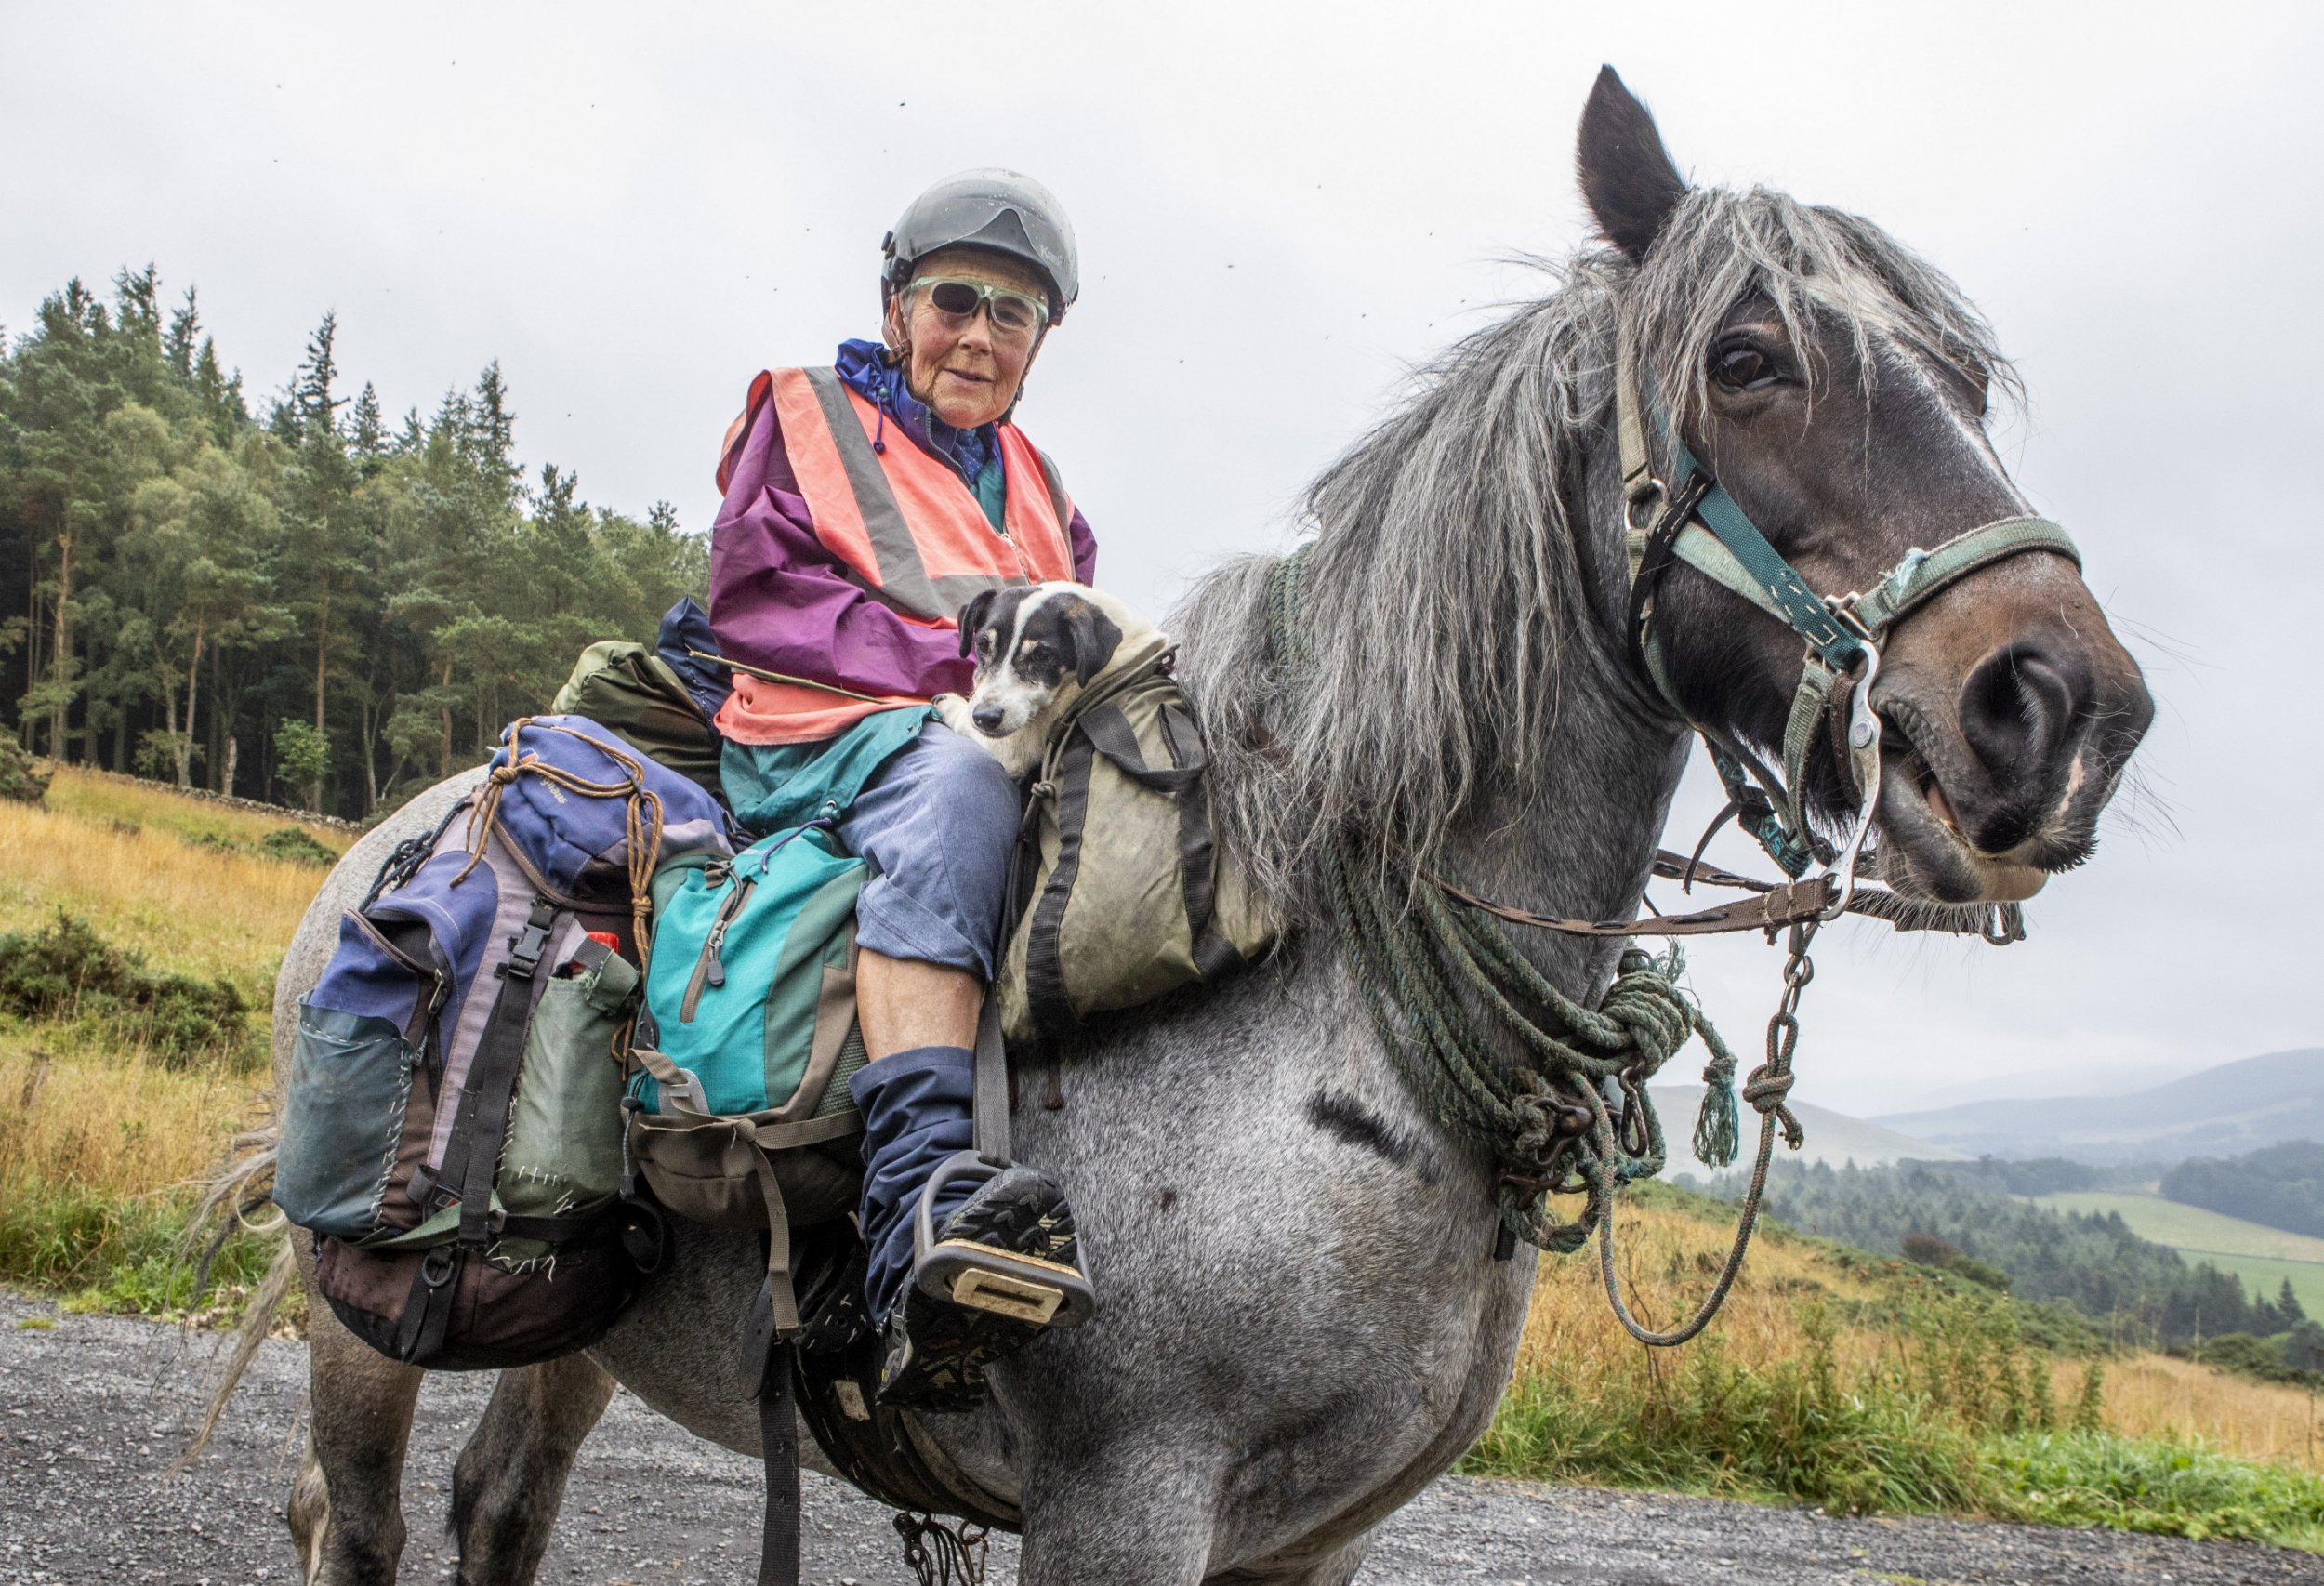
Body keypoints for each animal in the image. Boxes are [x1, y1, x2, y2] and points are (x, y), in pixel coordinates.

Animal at [934, 581, 1162, 776]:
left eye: (1042, 656)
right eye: (982, 645)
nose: (985, 717)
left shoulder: (1009, 749)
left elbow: (963, 719)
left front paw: (949, 703)